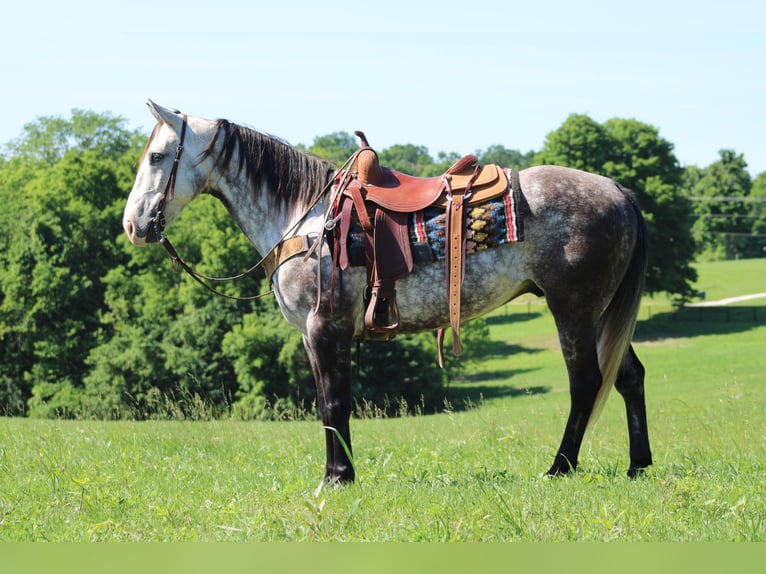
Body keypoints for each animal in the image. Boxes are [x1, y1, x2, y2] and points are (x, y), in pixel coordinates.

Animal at [123, 102, 652, 486]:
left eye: (156, 157)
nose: (132, 225)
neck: (305, 217)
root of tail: (618, 191)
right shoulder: (314, 336)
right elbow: (329, 402)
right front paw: (340, 473)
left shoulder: (325, 328)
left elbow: (334, 403)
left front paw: (337, 478)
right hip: (600, 313)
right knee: (629, 377)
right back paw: (638, 466)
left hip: (574, 310)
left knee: (586, 382)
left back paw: (560, 467)